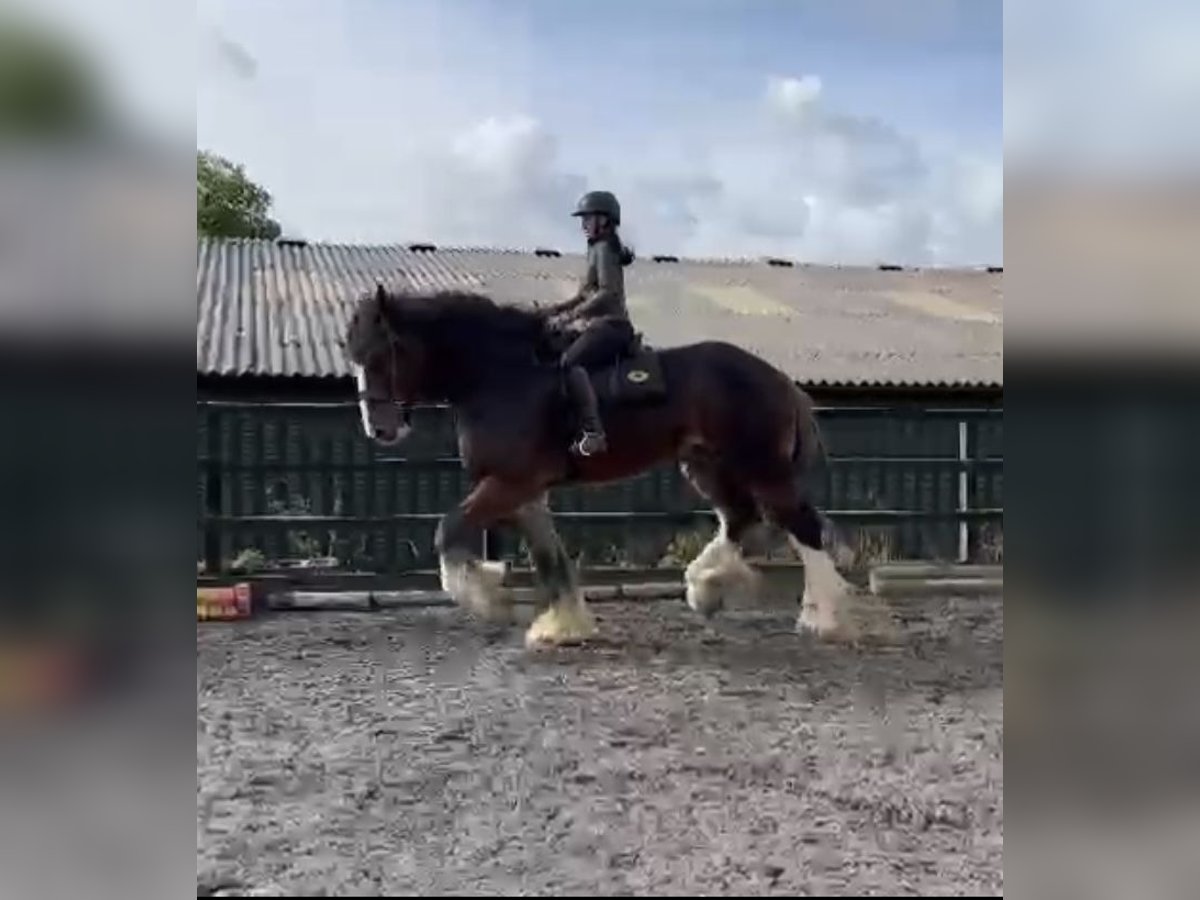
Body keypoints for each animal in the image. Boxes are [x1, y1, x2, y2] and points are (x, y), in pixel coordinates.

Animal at [343, 283, 868, 648]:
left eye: (382, 354)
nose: (379, 429)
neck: (501, 376)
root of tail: (775, 376)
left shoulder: (509, 482)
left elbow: (446, 530)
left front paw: (487, 599)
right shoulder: (526, 493)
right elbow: (550, 559)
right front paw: (564, 626)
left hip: (761, 467)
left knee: (799, 525)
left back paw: (824, 620)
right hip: (707, 465)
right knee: (744, 518)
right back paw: (705, 587)